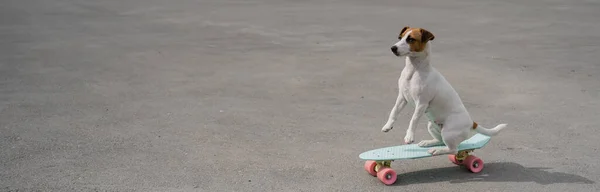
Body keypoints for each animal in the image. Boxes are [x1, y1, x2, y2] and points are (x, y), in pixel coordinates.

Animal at [380, 25, 506, 156]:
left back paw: (437, 150)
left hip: (448, 133)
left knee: (453, 149)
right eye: (400, 37)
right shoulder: (402, 97)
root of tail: (471, 122)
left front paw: (409, 136)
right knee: (440, 141)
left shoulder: (421, 103)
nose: (393, 48)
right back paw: (429, 143)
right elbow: (394, 111)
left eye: (410, 39)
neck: (413, 70)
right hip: (432, 126)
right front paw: (388, 126)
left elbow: (413, 120)